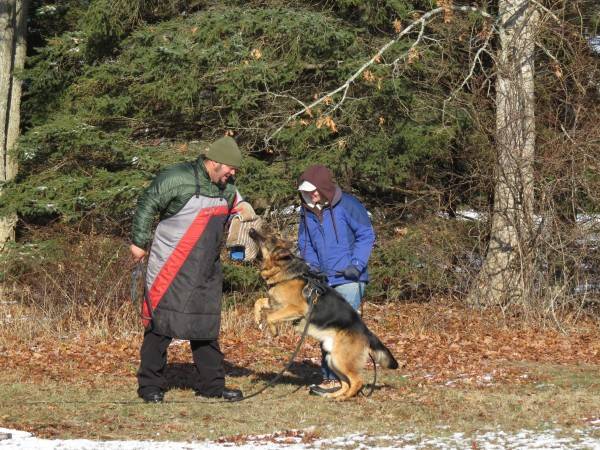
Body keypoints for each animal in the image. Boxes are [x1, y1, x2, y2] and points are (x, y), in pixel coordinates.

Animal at [248, 227, 398, 400]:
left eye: (270, 238)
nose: (251, 229)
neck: (284, 270)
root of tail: (367, 332)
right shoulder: (275, 303)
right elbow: (258, 302)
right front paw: (257, 318)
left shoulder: (296, 308)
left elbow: (270, 316)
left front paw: (273, 330)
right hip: (332, 358)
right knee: (346, 382)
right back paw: (333, 395)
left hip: (340, 359)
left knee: (357, 381)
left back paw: (343, 398)